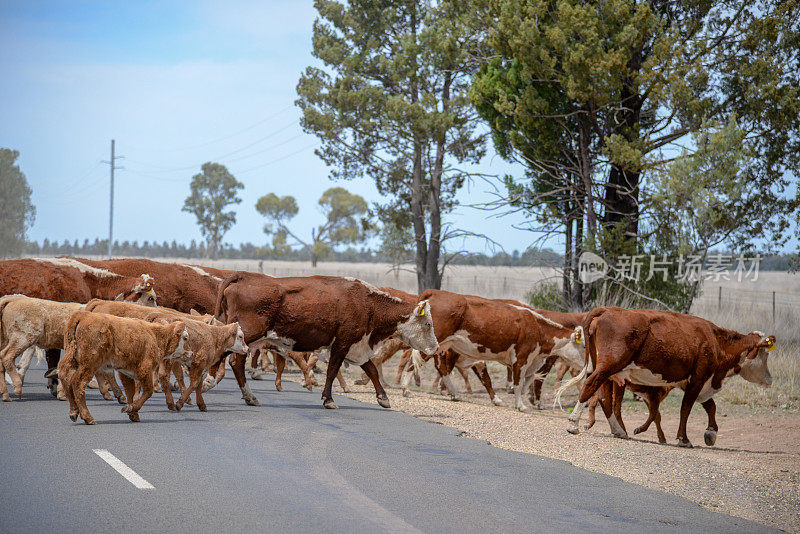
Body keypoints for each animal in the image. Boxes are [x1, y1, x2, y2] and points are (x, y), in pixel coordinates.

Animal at [57, 312, 191, 426]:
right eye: (185, 338)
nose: (191, 353)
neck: (154, 335)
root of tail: (82, 315)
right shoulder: (145, 370)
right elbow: (148, 391)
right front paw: (131, 408)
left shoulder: (126, 372)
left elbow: (130, 392)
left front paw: (133, 414)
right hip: (89, 364)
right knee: (78, 384)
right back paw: (88, 417)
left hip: (72, 359)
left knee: (65, 377)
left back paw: (74, 411)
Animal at [214, 274, 438, 412]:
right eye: (428, 324)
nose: (435, 348)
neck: (368, 304)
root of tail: (244, 276)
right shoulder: (342, 344)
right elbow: (332, 371)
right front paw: (328, 400)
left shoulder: (356, 347)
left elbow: (372, 370)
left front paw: (383, 398)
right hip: (245, 336)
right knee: (235, 361)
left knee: (235, 362)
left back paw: (247, 396)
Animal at [564, 306, 776, 448]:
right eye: (765, 354)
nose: (770, 380)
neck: (715, 341)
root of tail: (609, 309)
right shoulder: (699, 379)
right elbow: (686, 408)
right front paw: (684, 439)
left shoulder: (693, 381)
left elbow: (710, 406)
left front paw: (711, 433)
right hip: (608, 366)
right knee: (590, 386)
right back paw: (573, 424)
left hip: (610, 373)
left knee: (604, 399)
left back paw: (618, 430)